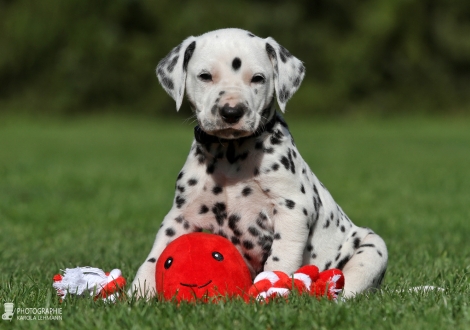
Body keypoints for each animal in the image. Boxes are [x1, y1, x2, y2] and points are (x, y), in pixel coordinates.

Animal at [130, 28, 388, 300]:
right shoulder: (181, 215)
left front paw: (272, 289)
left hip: (373, 248)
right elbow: (155, 255)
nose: (231, 112)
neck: (231, 155)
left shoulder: (293, 208)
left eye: (257, 78)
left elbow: (280, 259)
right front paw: (138, 292)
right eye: (205, 76)